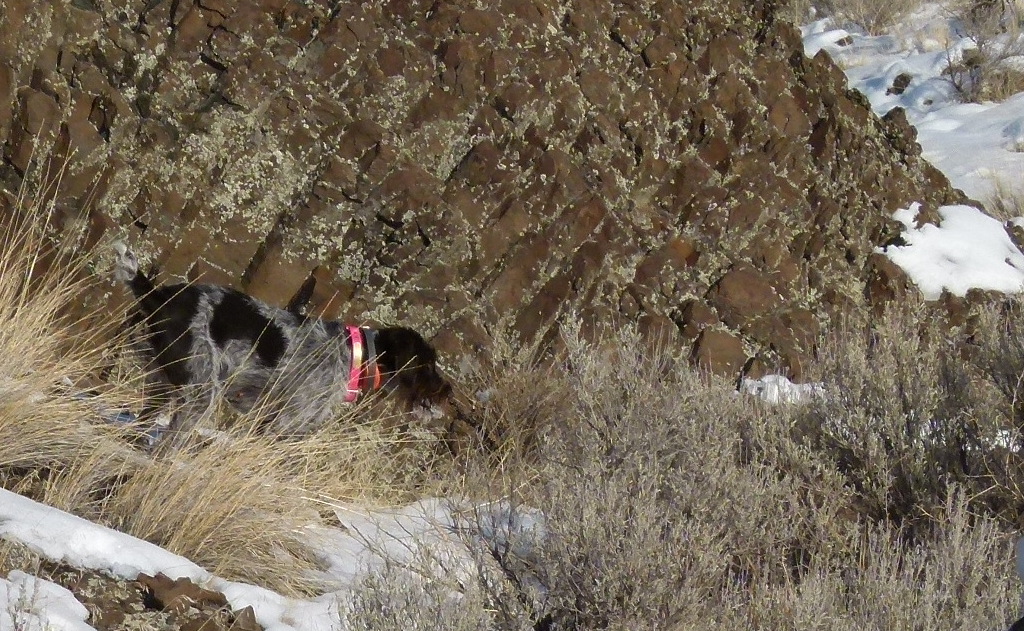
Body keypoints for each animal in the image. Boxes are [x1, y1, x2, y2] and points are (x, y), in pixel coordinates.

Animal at [110, 242, 450, 448]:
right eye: (428, 365)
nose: (448, 391)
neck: (353, 355)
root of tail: (157, 296)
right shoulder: (285, 424)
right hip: (201, 394)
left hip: (161, 386)